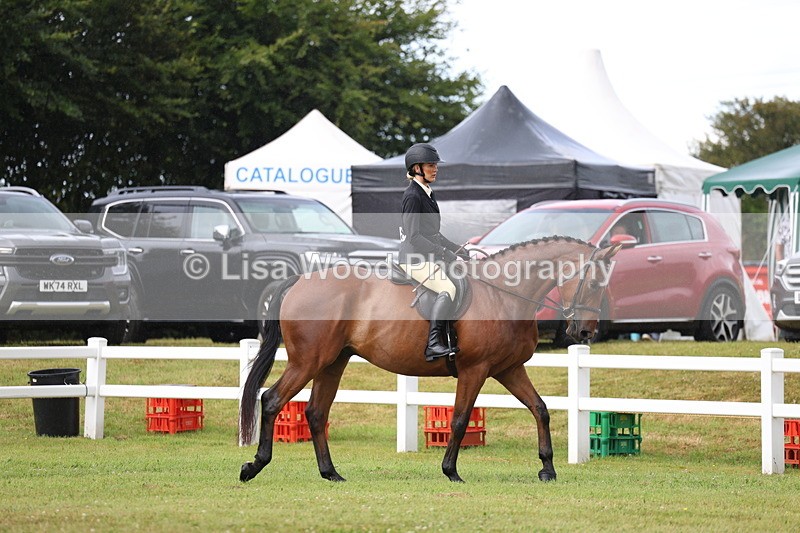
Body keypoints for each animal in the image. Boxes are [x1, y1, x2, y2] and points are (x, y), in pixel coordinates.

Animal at [239, 236, 620, 483]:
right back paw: (254, 466)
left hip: (333, 362)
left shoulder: (509, 369)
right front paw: (451, 471)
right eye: (594, 284)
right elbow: (460, 420)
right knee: (271, 399)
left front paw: (547, 469)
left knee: (316, 412)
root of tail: (298, 281)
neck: (504, 295)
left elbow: (540, 409)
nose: (585, 332)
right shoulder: (475, 370)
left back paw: (330, 473)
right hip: (307, 361)